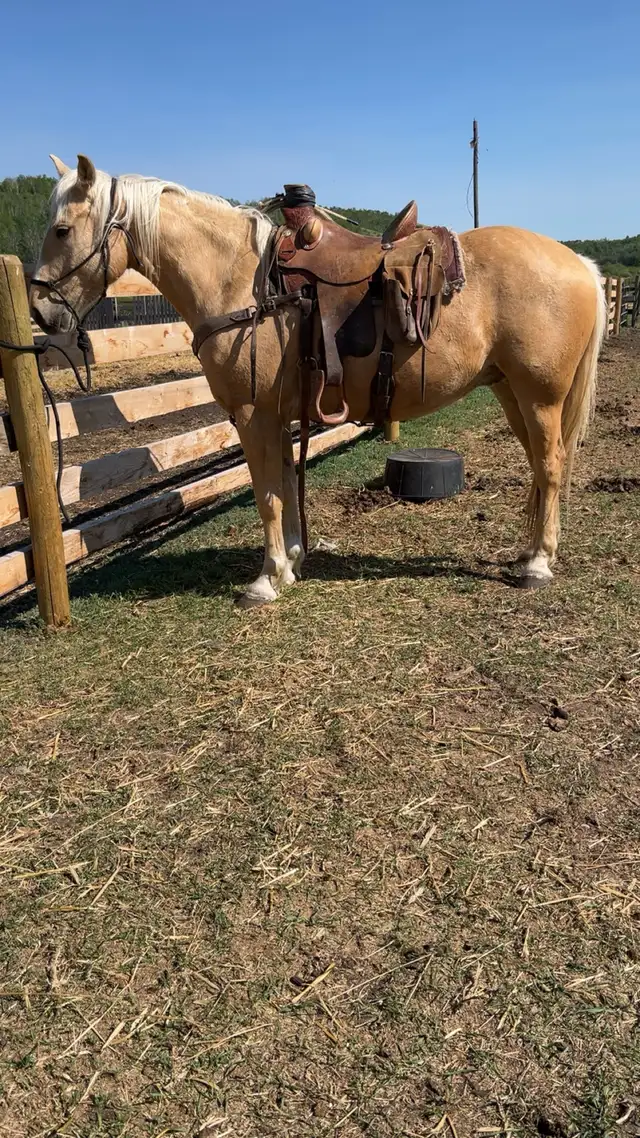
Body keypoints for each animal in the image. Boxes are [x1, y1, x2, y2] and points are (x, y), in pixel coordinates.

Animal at [31, 154, 606, 607]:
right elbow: (286, 483)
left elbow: (266, 494)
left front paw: (265, 580)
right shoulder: (278, 416)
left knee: (552, 466)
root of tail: (579, 262)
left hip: (540, 397)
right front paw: (291, 561)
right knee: (540, 468)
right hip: (513, 392)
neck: (242, 284)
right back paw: (529, 553)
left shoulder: (253, 417)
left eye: (61, 230)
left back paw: (539, 565)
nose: (39, 312)